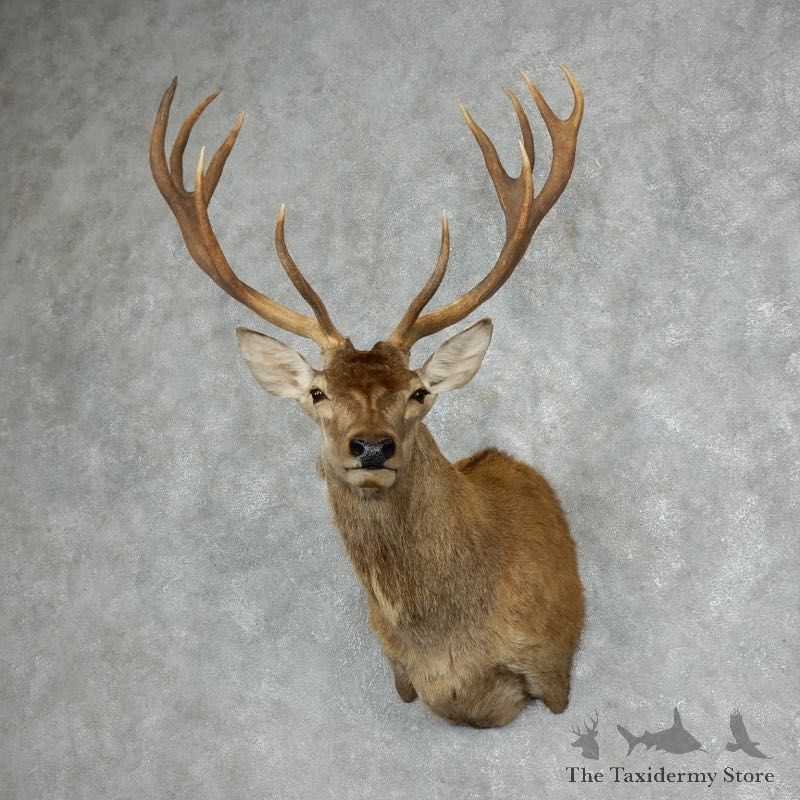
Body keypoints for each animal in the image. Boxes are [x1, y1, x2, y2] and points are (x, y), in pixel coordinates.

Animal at [149, 66, 585, 729]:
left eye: (419, 391)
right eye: (318, 392)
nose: (372, 446)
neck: (451, 651)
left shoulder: (553, 666)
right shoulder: (400, 673)